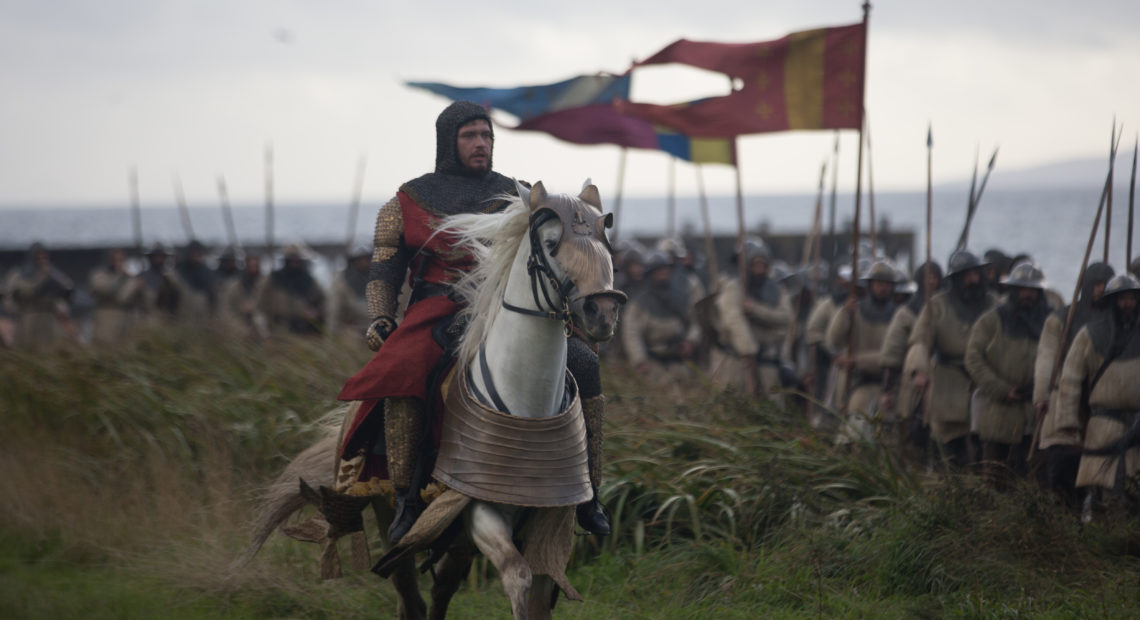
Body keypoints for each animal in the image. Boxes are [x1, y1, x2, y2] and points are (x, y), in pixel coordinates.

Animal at [234, 180, 620, 620]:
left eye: (605, 244)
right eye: (553, 244)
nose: (602, 312)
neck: (526, 400)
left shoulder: (550, 515)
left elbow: (538, 593)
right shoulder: (478, 510)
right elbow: (517, 577)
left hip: (455, 540)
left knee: (441, 590)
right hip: (391, 513)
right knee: (410, 595)